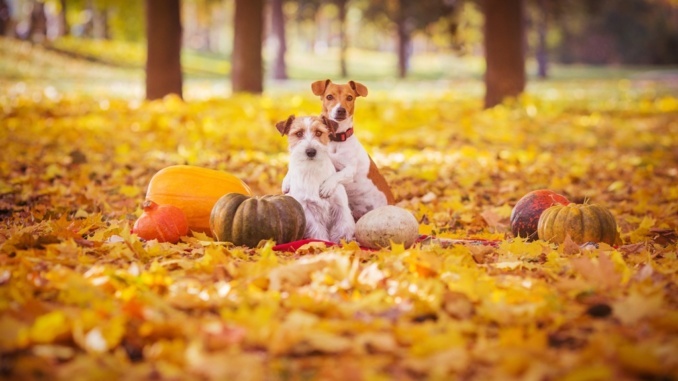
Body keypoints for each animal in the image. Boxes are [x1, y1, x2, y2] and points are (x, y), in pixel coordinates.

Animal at [278, 114, 358, 242]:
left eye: (319, 132)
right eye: (299, 133)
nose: (311, 151)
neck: (312, 170)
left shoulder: (340, 206)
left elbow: (343, 227)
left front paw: (343, 242)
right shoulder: (307, 210)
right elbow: (318, 231)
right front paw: (324, 242)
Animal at [310, 78, 396, 220]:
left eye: (349, 97)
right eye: (329, 96)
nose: (341, 110)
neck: (336, 139)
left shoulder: (350, 170)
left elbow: (337, 174)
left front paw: (327, 186)